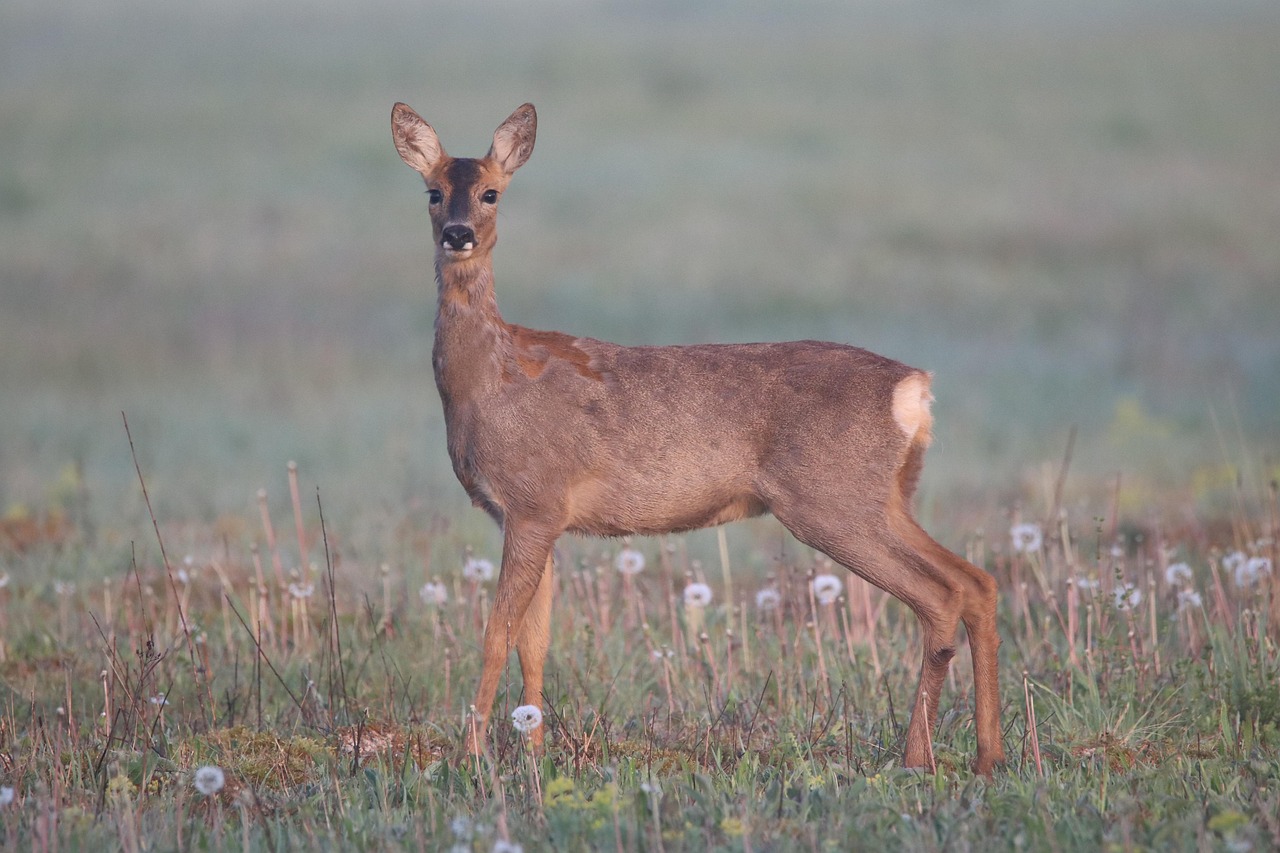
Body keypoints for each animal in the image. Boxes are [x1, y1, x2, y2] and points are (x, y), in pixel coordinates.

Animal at [390, 102, 1006, 776]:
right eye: (432, 191)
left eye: (491, 193)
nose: (457, 234)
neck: (488, 379)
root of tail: (914, 388)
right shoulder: (535, 518)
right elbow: (537, 640)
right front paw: (534, 751)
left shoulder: (532, 502)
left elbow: (497, 634)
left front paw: (473, 754)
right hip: (886, 497)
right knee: (976, 582)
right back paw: (989, 755)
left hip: (832, 500)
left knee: (940, 596)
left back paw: (920, 757)